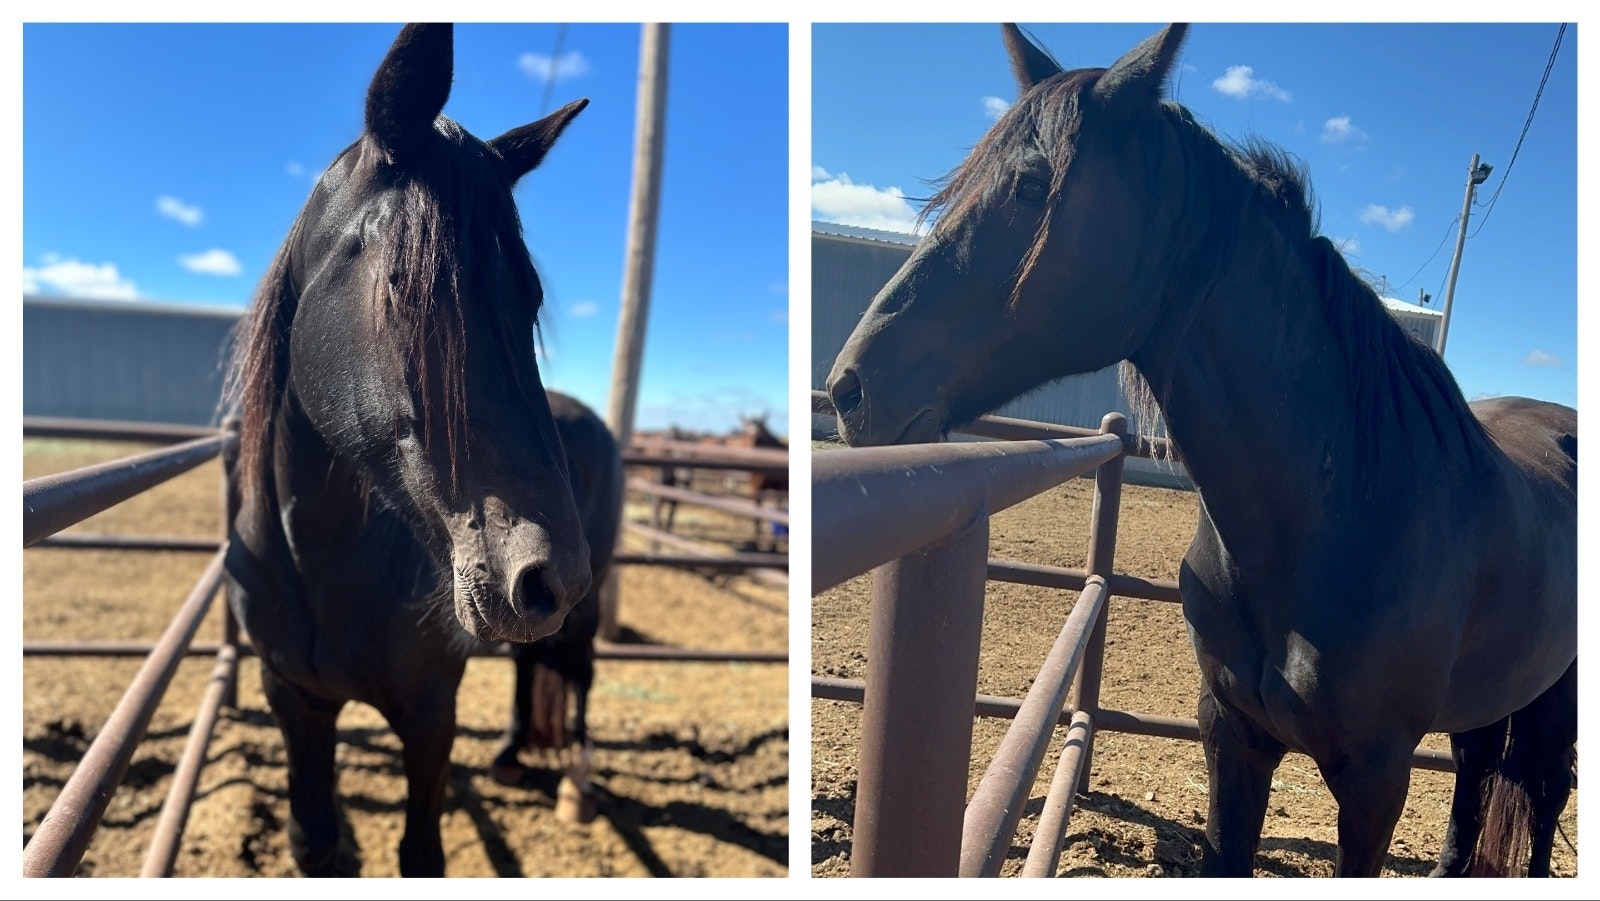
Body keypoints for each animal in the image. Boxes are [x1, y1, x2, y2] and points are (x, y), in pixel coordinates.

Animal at [228, 24, 608, 876]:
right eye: (407, 285)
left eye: (531, 300)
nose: (548, 575)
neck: (322, 561)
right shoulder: (292, 699)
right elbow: (314, 838)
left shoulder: (431, 709)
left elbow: (421, 851)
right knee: (535, 663)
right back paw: (510, 756)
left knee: (578, 670)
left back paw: (574, 786)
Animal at [832, 22, 1580, 883]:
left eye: (1030, 186)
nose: (849, 387)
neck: (1341, 511)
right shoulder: (1231, 735)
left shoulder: (1375, 778)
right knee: (1476, 771)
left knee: (1547, 791)